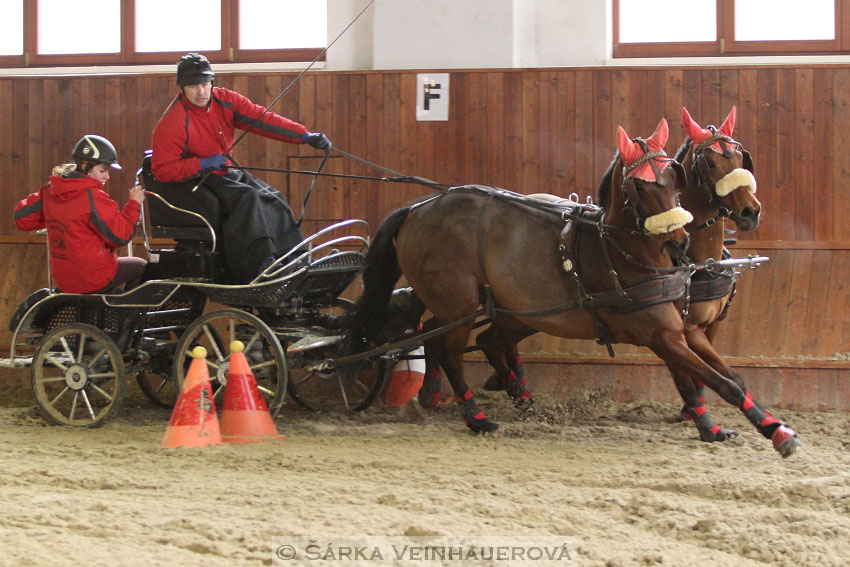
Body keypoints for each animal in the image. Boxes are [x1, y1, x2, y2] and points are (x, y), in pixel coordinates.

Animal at [348, 118, 800, 458]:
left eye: (674, 174)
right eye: (708, 163)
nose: (677, 241)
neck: (624, 249)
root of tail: (418, 207)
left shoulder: (688, 329)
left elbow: (730, 377)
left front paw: (741, 423)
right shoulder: (664, 334)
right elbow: (707, 380)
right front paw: (745, 427)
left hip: (509, 309)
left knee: (459, 337)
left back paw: (474, 395)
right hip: (458, 304)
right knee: (449, 349)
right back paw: (474, 415)